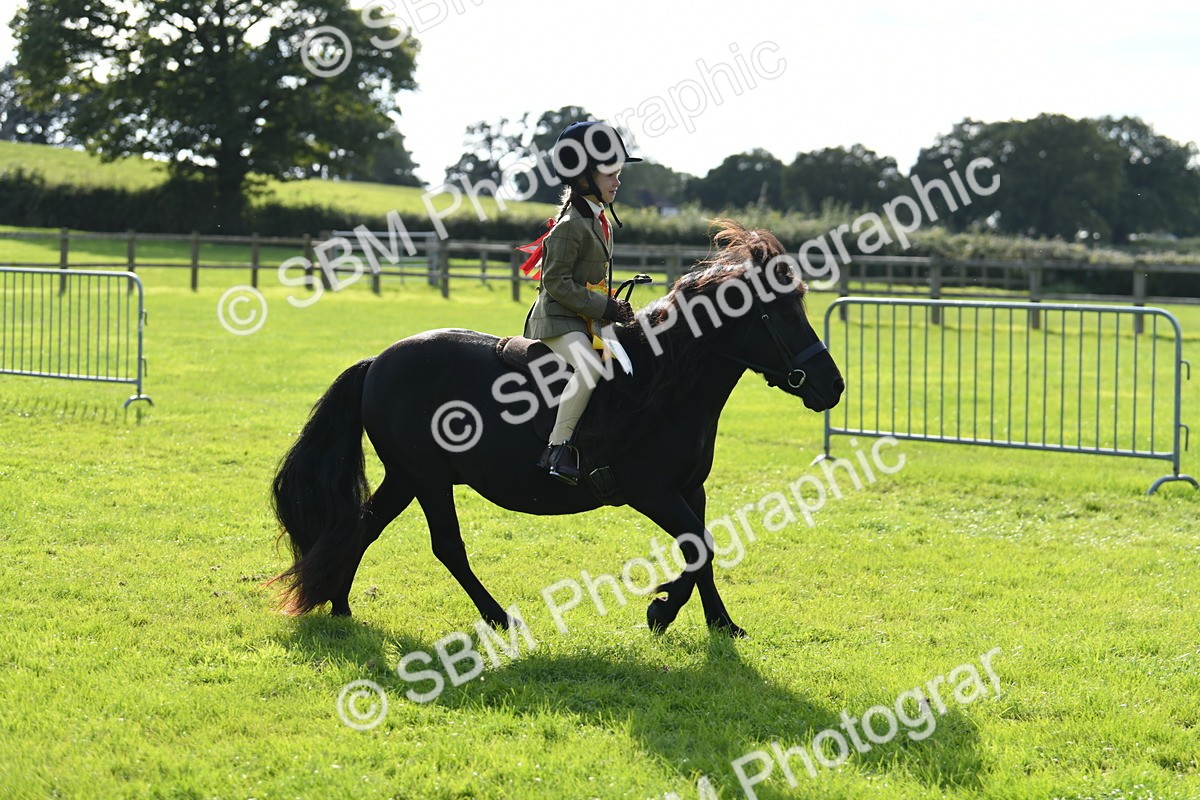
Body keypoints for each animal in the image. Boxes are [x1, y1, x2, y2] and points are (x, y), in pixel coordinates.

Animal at [271, 220, 844, 637]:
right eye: (781, 314)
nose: (833, 386)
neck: (663, 383)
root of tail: (377, 363)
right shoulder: (650, 490)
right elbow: (698, 547)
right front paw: (661, 609)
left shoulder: (690, 489)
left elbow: (702, 549)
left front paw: (719, 623)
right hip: (427, 478)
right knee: (446, 546)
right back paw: (498, 617)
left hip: (407, 478)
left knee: (364, 525)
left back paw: (341, 607)